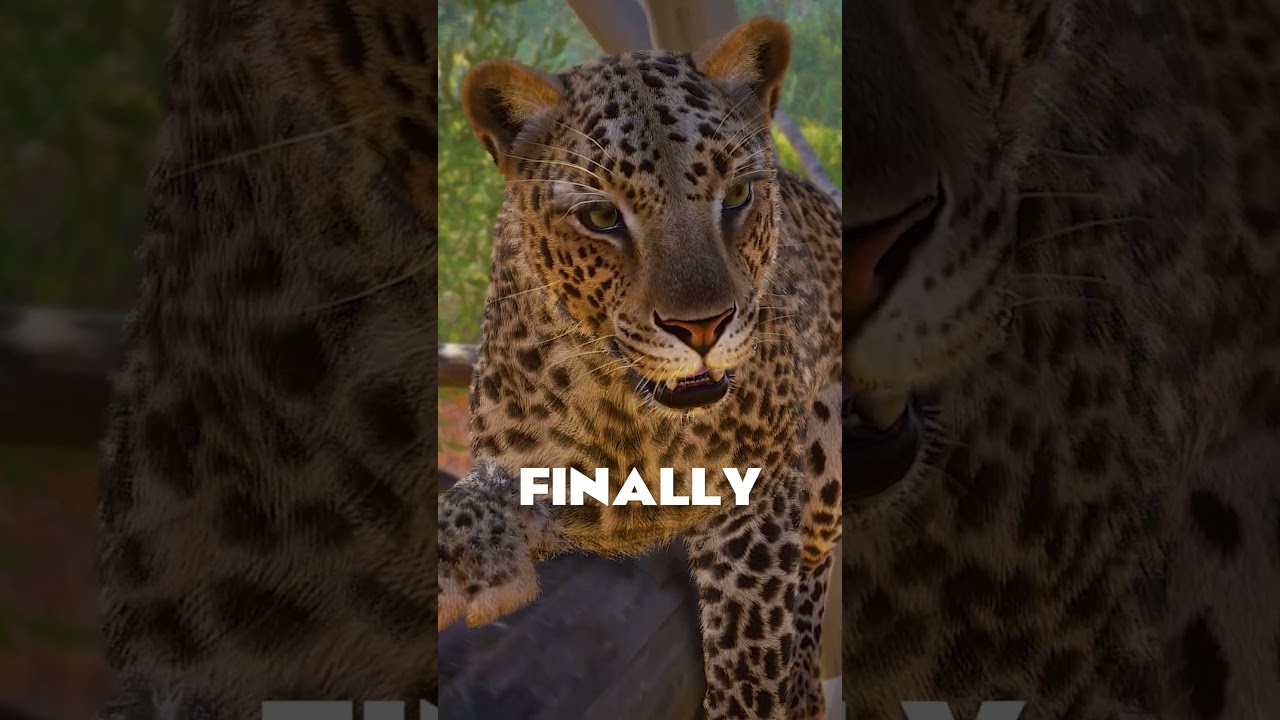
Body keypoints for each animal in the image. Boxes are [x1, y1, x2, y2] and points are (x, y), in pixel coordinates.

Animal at [437, 16, 843, 720]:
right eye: (602, 217)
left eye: (737, 195)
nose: (702, 327)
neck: (630, 412)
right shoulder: (532, 469)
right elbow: (477, 493)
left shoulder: (760, 492)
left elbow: (749, 637)